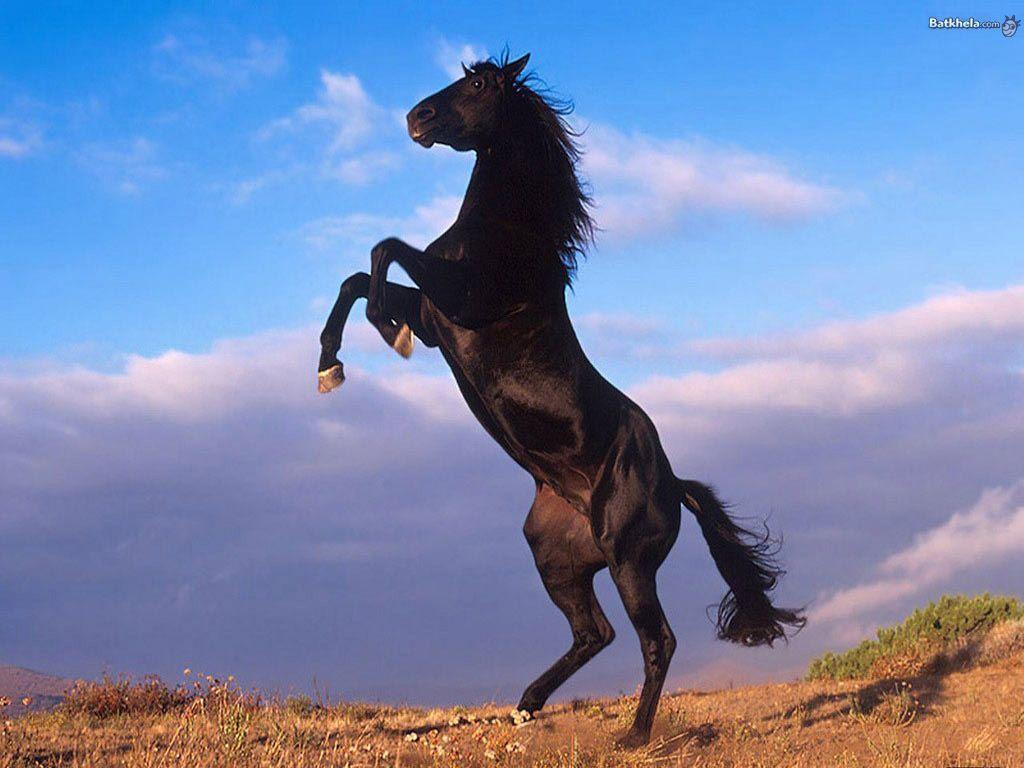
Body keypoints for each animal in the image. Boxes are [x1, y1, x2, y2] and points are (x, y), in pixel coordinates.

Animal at [316, 52, 805, 747]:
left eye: (477, 84)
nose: (416, 118)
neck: (508, 234)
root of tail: (674, 483)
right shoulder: (439, 319)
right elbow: (357, 277)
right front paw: (330, 364)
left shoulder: (458, 301)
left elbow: (384, 252)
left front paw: (385, 329)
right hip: (557, 558)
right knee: (594, 633)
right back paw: (526, 705)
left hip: (629, 562)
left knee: (656, 640)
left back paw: (632, 736)